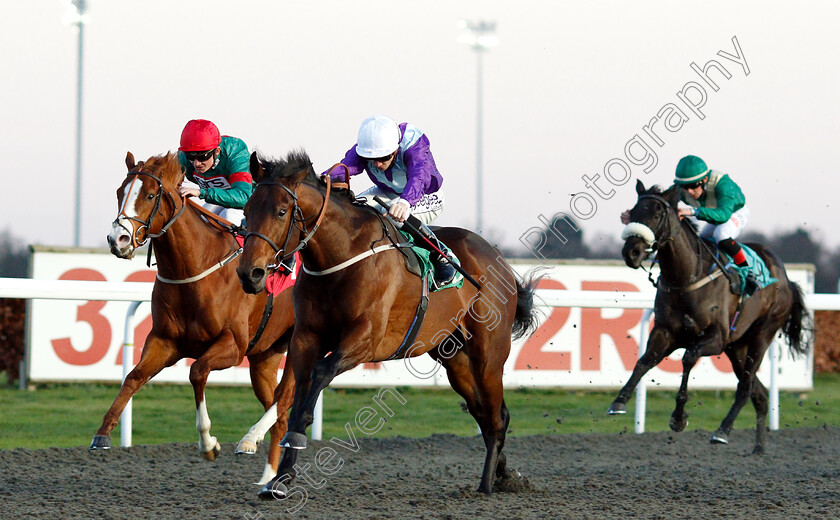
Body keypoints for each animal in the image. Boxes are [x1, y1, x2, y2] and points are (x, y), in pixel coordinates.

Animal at [95, 151, 296, 484]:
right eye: (119, 192)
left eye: (150, 195)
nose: (118, 239)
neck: (195, 268)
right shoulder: (164, 341)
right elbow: (133, 377)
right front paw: (103, 433)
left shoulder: (232, 346)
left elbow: (197, 372)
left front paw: (208, 443)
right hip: (264, 357)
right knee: (279, 409)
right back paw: (268, 470)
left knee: (287, 394)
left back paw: (250, 442)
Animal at [233, 150, 540, 500]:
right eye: (246, 210)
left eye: (281, 211)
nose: (250, 273)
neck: (340, 257)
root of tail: (499, 259)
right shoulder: (306, 338)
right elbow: (296, 394)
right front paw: (280, 478)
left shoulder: (365, 339)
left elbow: (320, 374)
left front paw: (295, 440)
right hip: (456, 361)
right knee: (484, 413)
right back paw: (503, 474)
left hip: (488, 356)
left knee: (496, 416)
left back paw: (487, 484)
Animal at [608, 181, 812, 452]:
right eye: (632, 212)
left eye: (657, 214)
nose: (631, 252)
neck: (686, 277)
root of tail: (787, 280)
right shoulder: (665, 331)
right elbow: (644, 361)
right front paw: (619, 401)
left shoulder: (715, 337)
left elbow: (688, 358)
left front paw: (678, 418)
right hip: (737, 347)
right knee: (759, 393)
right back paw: (758, 448)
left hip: (763, 334)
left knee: (745, 387)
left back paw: (723, 430)